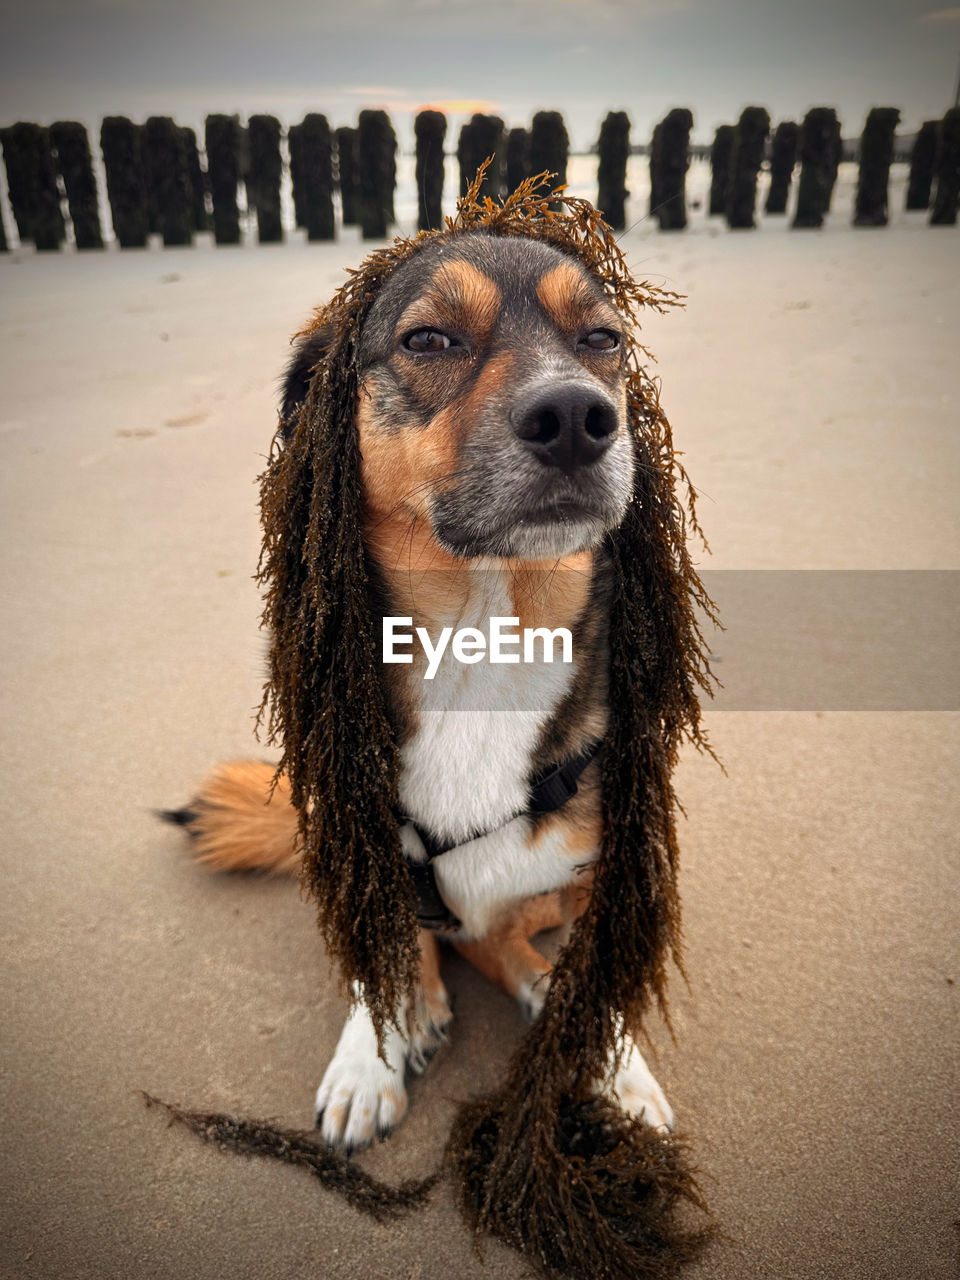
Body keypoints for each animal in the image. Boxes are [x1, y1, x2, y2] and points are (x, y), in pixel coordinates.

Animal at [171, 232, 675, 1162]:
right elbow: (380, 953)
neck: (482, 639)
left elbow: (597, 982)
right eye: (429, 339)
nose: (579, 418)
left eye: (602, 339)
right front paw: (369, 1057)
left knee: (499, 936)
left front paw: (613, 1069)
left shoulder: (607, 865)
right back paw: (425, 1004)